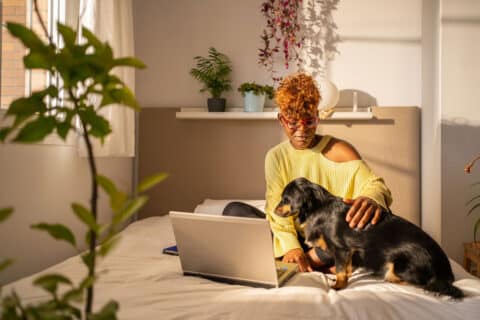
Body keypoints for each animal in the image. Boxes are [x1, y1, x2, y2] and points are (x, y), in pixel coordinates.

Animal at [276, 176, 464, 298]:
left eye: (285, 199)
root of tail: (445, 271)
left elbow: (341, 270)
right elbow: (347, 268)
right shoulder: (347, 253)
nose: (273, 210)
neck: (317, 208)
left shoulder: (341, 249)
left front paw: (338, 286)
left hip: (396, 266)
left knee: (419, 282)